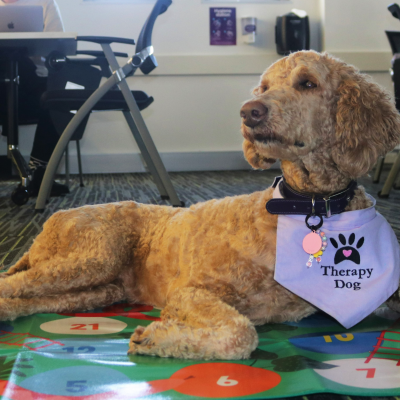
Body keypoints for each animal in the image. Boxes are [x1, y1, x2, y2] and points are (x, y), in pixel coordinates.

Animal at [2, 50, 400, 360]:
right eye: (264, 87)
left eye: (308, 83)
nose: (249, 111)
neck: (307, 206)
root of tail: (51, 220)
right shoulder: (191, 292)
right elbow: (242, 332)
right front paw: (158, 336)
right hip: (93, 259)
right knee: (12, 283)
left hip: (97, 290)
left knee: (23, 296)